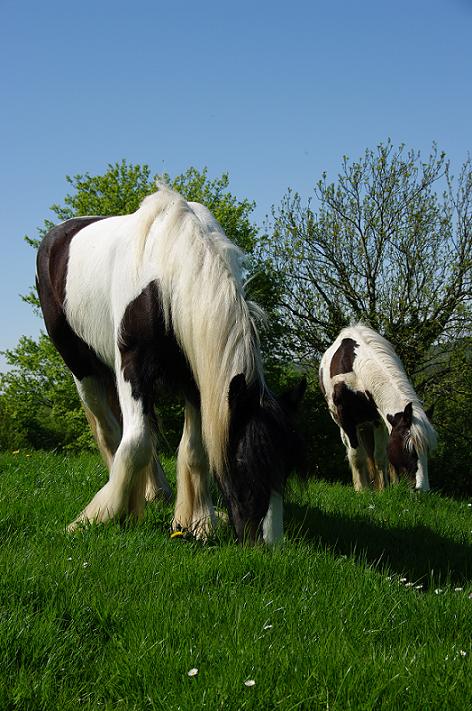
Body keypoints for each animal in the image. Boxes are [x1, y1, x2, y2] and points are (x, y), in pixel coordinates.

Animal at [35, 186, 304, 544]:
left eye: (286, 466)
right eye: (242, 460)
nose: (268, 544)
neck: (166, 276)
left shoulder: (196, 379)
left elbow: (194, 450)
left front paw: (199, 521)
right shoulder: (132, 371)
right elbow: (134, 443)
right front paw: (102, 516)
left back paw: (156, 492)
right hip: (82, 368)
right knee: (110, 430)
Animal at [318, 326, 436, 492]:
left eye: (427, 449)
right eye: (409, 448)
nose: (422, 489)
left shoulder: (378, 421)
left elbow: (380, 456)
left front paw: (383, 490)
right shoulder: (347, 421)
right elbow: (357, 457)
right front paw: (362, 491)